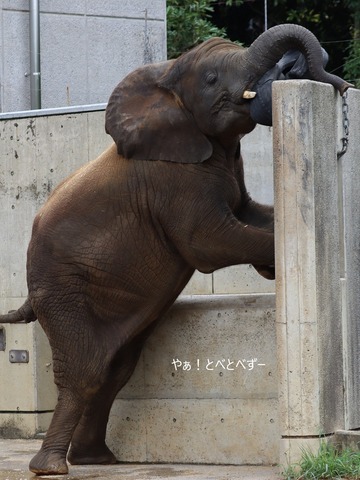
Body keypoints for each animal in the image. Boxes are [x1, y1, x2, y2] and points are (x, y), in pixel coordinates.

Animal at [0, 23, 350, 476]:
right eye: (212, 79)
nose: (340, 83)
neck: (166, 74)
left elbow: (251, 214)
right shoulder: (171, 181)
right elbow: (209, 243)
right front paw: (273, 263)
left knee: (115, 369)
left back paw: (97, 459)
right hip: (62, 291)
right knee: (85, 370)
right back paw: (52, 467)